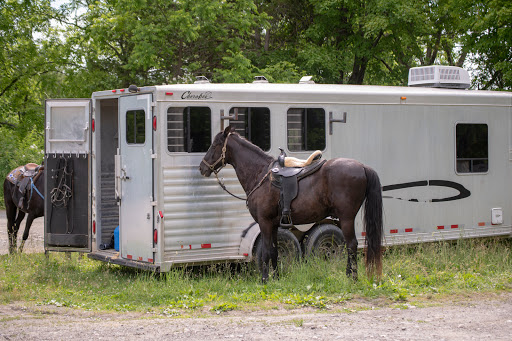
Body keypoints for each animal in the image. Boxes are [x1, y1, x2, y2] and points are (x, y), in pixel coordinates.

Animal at [198, 125, 382, 282]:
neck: (260, 174)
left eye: (215, 144)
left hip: (346, 218)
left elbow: (265, 252)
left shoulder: (264, 222)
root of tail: (362, 167)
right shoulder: (273, 224)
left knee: (352, 245)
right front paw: (276, 278)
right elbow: (274, 251)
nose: (202, 168)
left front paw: (264, 280)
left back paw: (352, 277)